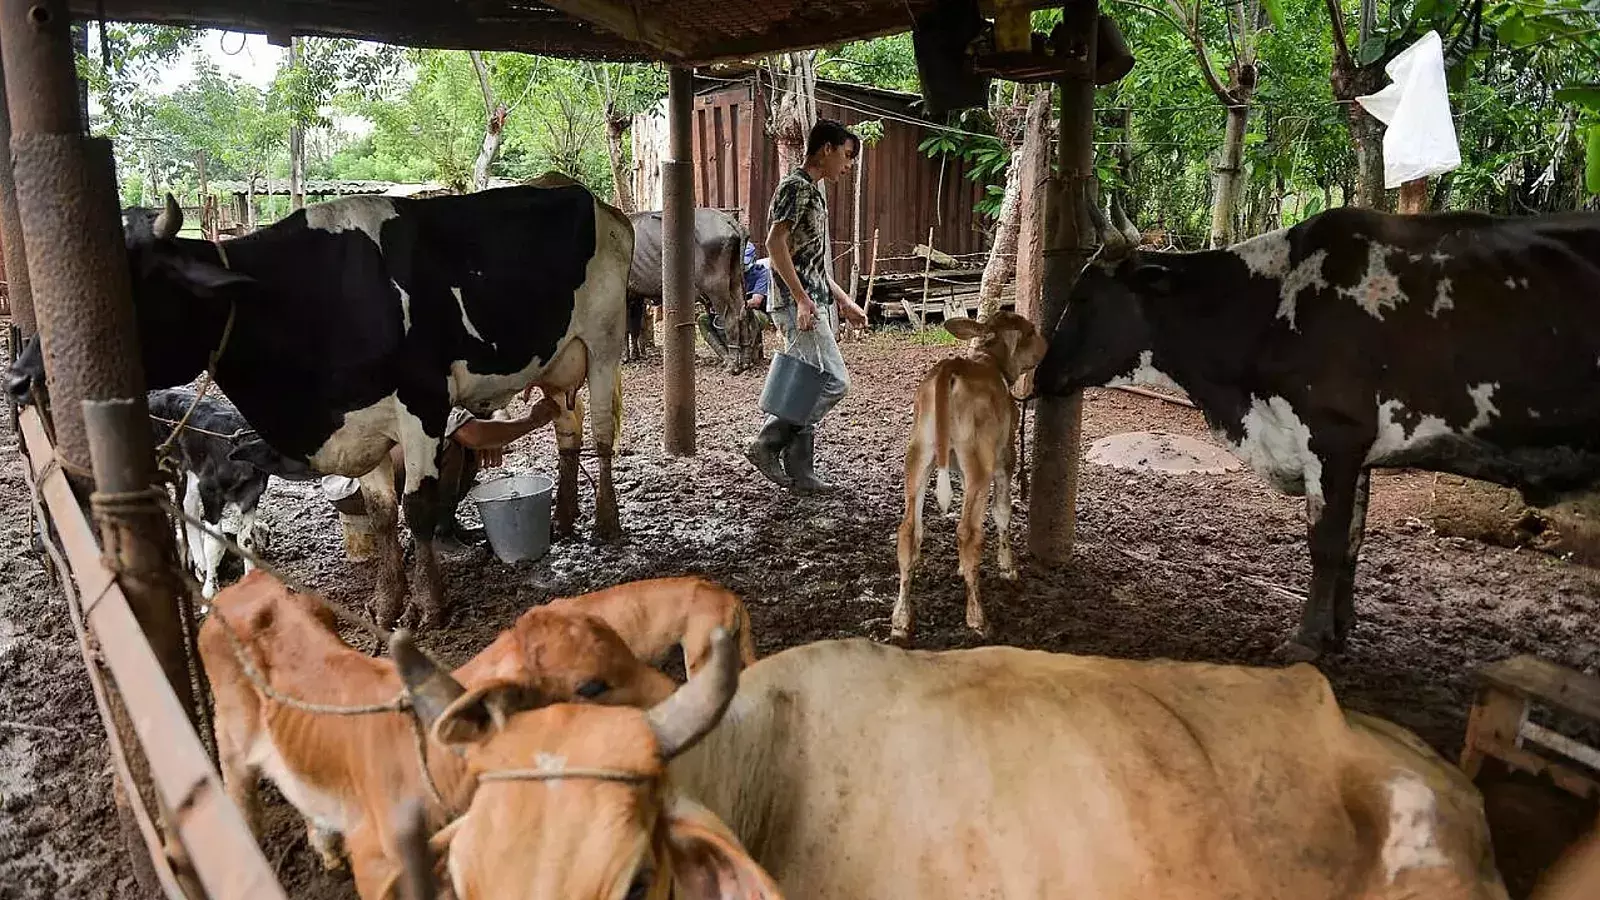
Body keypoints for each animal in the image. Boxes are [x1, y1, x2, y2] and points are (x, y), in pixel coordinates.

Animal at [26, 175, 630, 624]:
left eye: (128, 283)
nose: (22, 376)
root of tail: (594, 199)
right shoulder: (365, 424)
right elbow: (384, 513)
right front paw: (387, 603)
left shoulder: (424, 404)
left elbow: (417, 506)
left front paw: (430, 605)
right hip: (557, 360)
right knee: (568, 425)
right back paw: (565, 519)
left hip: (603, 342)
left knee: (602, 431)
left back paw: (605, 524)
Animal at [200, 570, 675, 890]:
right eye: (590, 686)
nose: (674, 690)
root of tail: (245, 584)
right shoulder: (375, 859)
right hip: (230, 737)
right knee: (239, 795)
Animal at [889, 312, 1049, 640]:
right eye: (1030, 331)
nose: (1046, 344)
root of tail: (951, 369)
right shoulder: (1004, 459)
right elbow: (1002, 511)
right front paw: (1008, 567)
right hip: (978, 464)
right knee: (969, 532)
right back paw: (977, 618)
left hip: (918, 454)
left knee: (909, 530)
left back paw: (901, 619)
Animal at [1030, 203, 1600, 659]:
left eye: (1083, 298)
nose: (1039, 375)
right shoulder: (1358, 451)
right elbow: (1350, 541)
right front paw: (1338, 630)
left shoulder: (1334, 436)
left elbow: (1324, 542)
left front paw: (1305, 641)